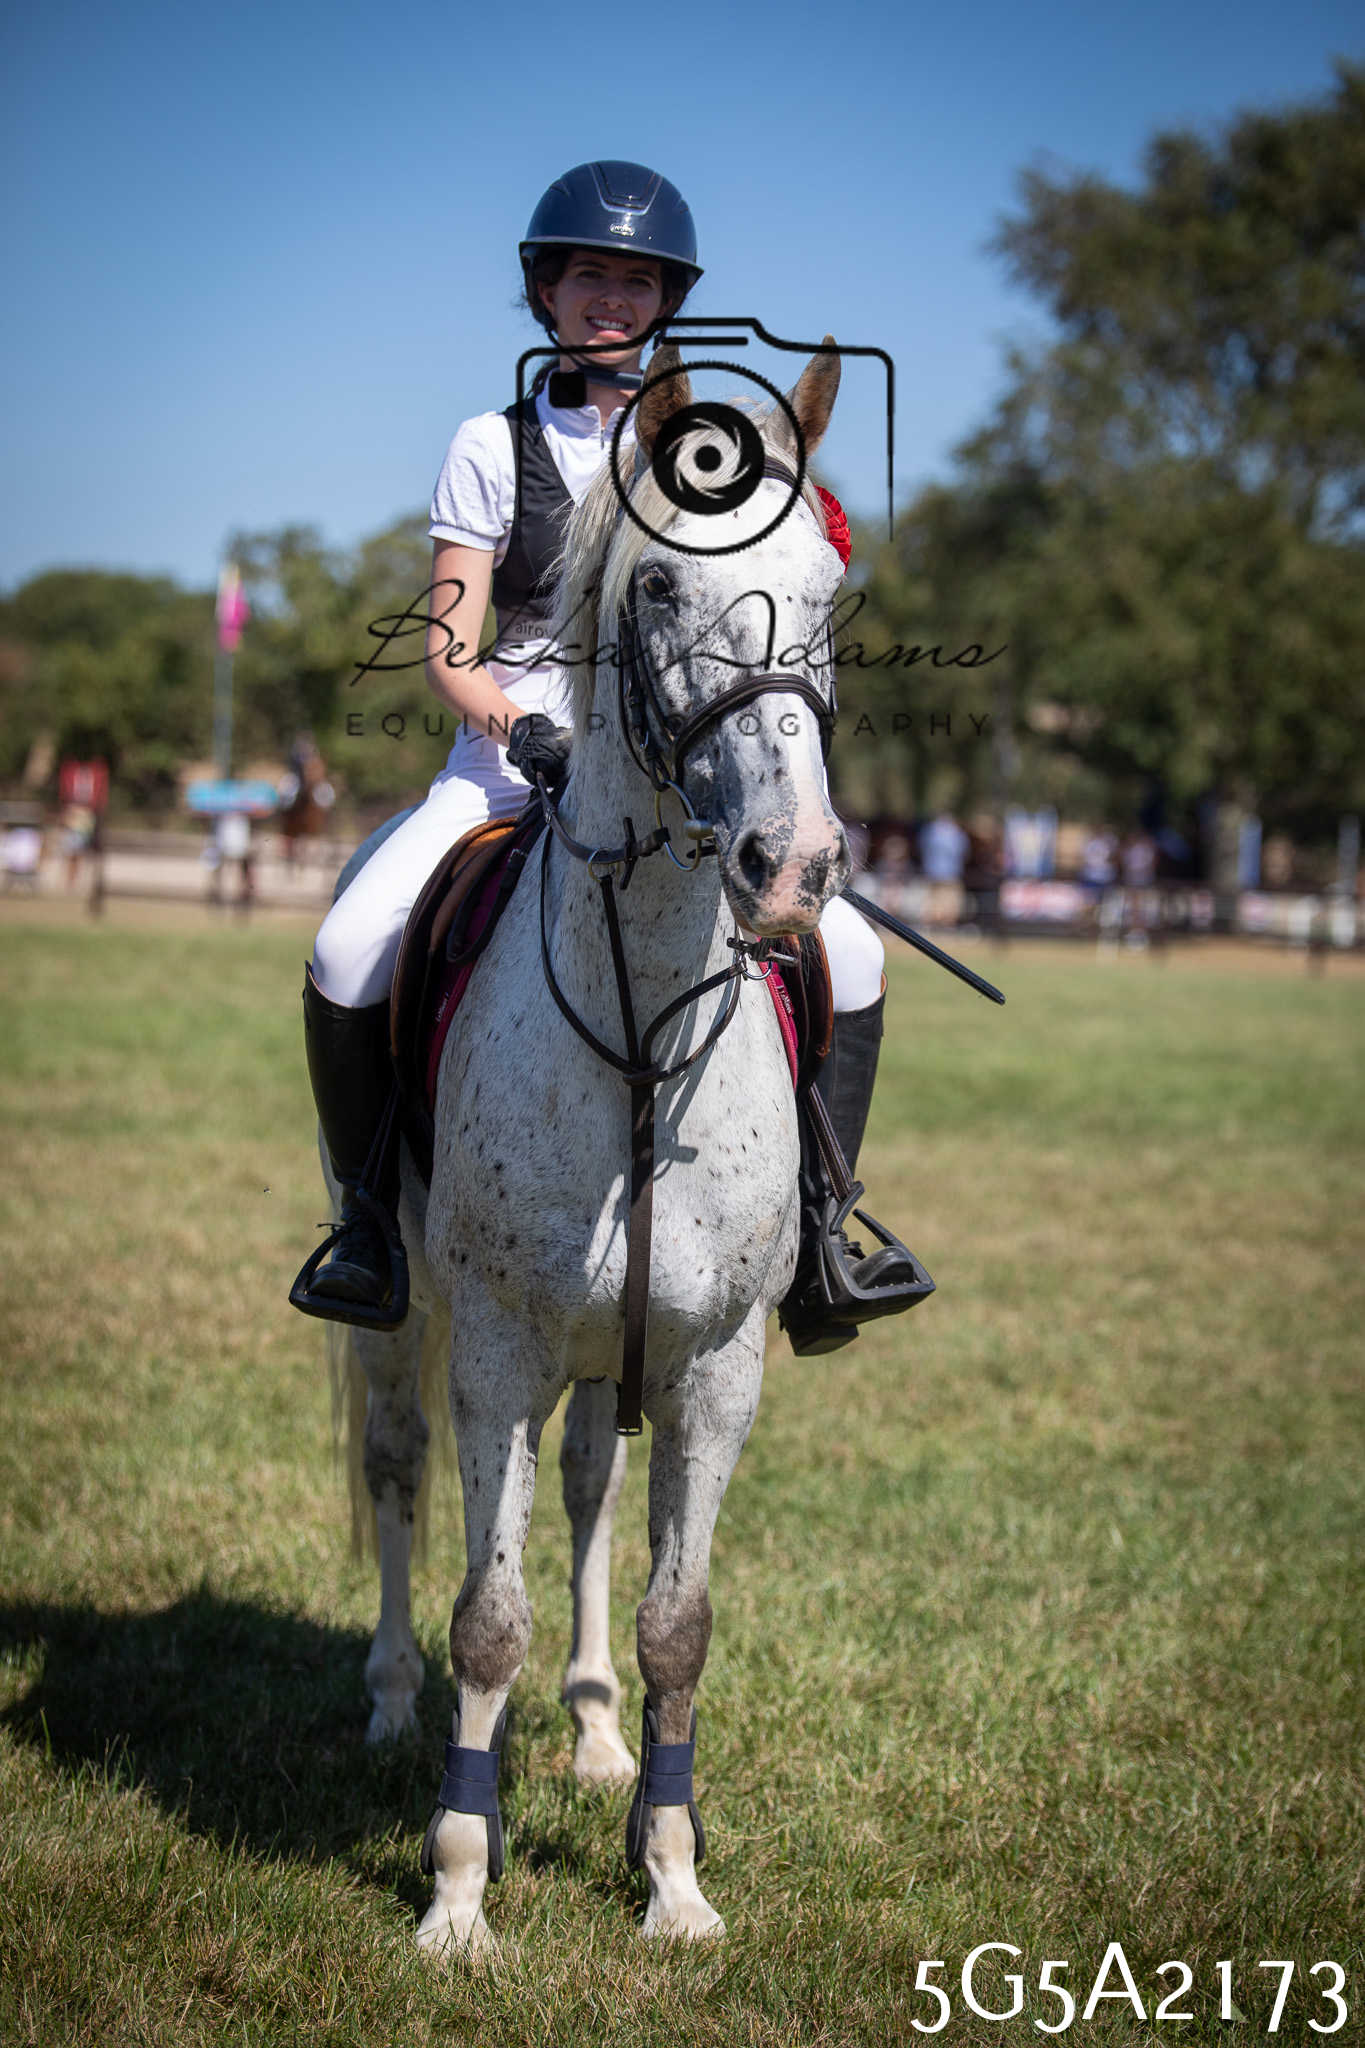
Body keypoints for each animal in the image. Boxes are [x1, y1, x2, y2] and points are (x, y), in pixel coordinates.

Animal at [329, 341, 851, 1952]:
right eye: (664, 586)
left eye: (831, 587)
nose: (794, 868)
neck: (636, 1031)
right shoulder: (496, 1339)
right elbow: (480, 1615)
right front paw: (456, 1895)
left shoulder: (716, 1360)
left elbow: (680, 1623)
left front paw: (670, 1877)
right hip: (405, 1315)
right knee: (395, 1470)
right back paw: (386, 1706)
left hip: (606, 1355)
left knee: (581, 1493)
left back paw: (598, 1731)